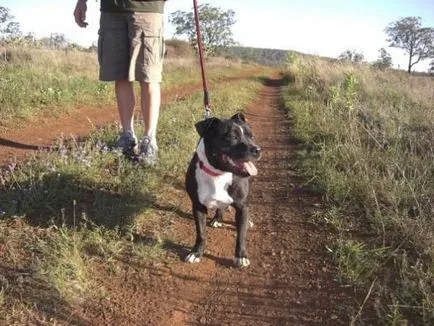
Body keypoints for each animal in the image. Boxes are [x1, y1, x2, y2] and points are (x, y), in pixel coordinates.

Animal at [184, 113, 260, 266]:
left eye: (252, 136)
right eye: (232, 137)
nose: (257, 149)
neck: (218, 173)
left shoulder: (242, 206)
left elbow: (241, 235)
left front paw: (241, 256)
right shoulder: (198, 206)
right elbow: (201, 233)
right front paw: (196, 252)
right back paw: (217, 218)